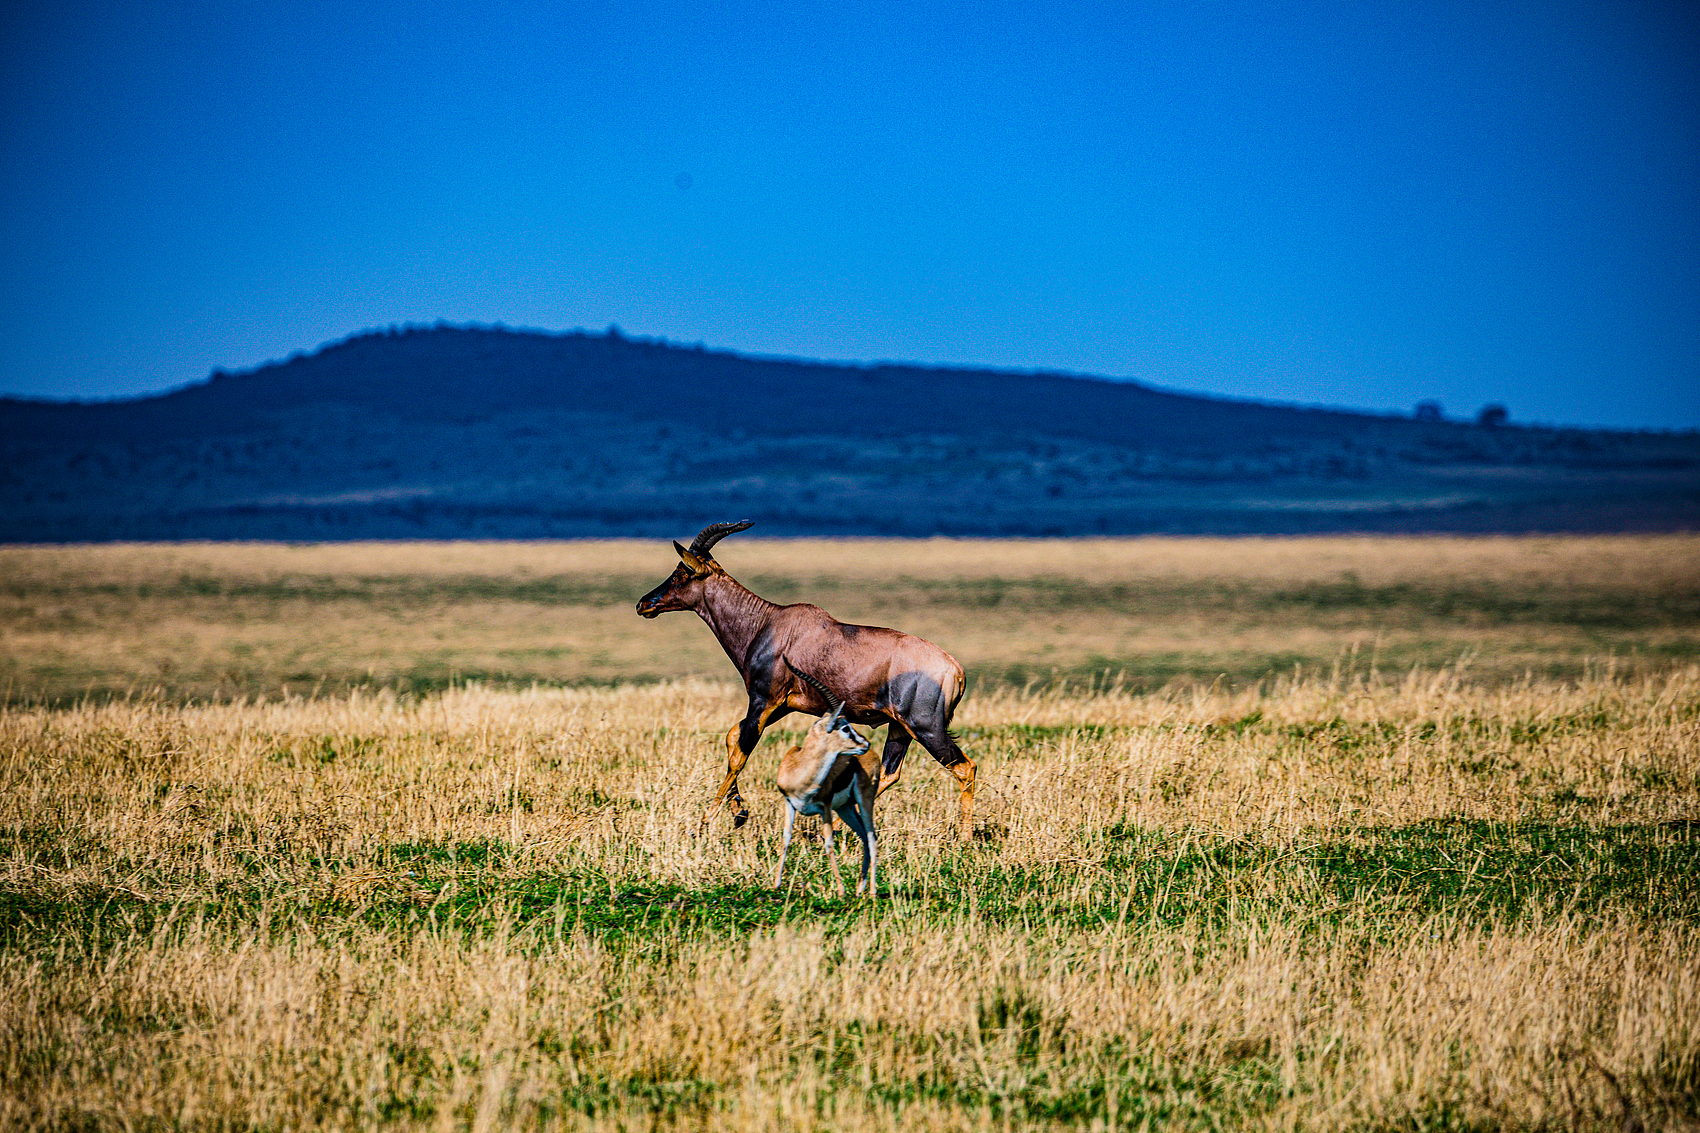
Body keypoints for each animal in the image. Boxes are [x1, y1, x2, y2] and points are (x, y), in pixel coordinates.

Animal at [639, 520, 979, 836]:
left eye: (681, 573)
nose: (644, 604)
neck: (768, 622)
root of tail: (956, 670)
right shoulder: (782, 706)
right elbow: (732, 737)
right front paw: (740, 813)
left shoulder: (763, 701)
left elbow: (740, 755)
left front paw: (706, 821)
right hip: (900, 728)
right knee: (888, 773)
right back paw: (841, 828)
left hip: (927, 728)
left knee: (965, 767)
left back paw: (964, 838)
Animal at [771, 656, 877, 898]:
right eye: (845, 728)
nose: (865, 743)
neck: (800, 774)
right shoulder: (789, 803)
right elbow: (785, 839)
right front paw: (775, 884)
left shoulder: (825, 807)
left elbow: (828, 843)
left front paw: (840, 890)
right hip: (846, 807)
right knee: (864, 836)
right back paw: (860, 889)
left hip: (864, 801)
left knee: (872, 838)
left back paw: (872, 892)